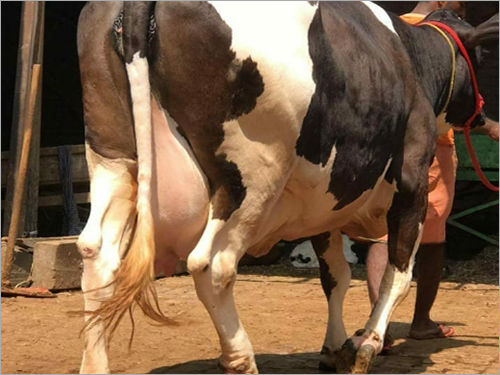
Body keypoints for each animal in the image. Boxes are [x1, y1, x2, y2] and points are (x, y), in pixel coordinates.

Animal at [76, 1, 498, 374]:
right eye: (480, 58)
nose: (485, 114)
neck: (412, 58)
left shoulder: (327, 202)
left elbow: (336, 277)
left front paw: (334, 348)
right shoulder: (412, 185)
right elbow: (398, 275)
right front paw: (367, 345)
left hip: (113, 159)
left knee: (98, 255)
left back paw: (95, 364)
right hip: (252, 178)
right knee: (213, 263)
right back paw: (240, 358)